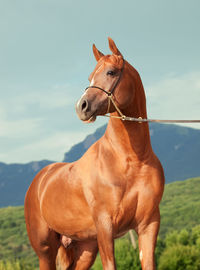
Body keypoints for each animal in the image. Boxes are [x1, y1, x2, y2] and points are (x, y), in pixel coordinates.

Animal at [24, 38, 164, 270]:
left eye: (111, 72)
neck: (131, 160)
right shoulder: (105, 227)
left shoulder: (148, 224)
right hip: (45, 251)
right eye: (90, 76)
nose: (81, 106)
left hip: (86, 248)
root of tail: (39, 181)